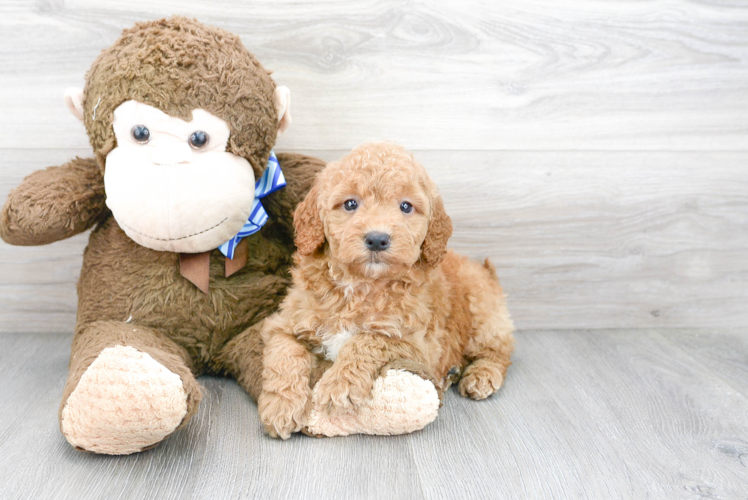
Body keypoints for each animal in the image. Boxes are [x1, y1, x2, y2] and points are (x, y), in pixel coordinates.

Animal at [258, 143, 516, 440]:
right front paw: (281, 408)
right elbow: (285, 355)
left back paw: (481, 375)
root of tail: (485, 272)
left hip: (483, 315)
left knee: (499, 351)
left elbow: (367, 339)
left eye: (406, 206)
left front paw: (338, 385)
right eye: (350, 204)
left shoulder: (418, 343)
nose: (377, 239)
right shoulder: (285, 322)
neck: (360, 285)